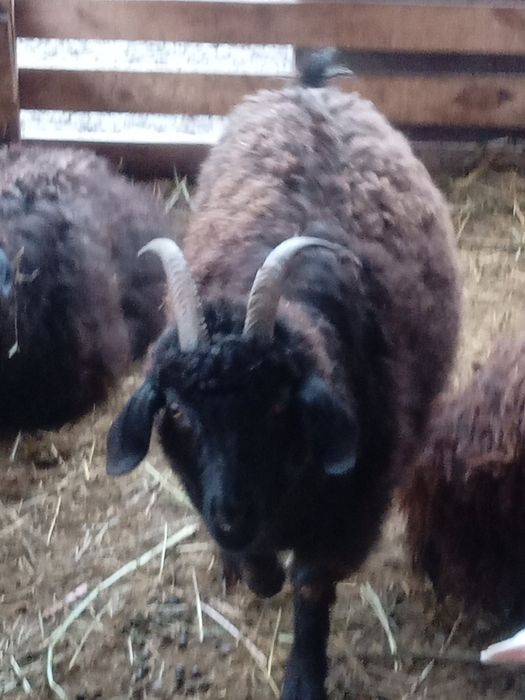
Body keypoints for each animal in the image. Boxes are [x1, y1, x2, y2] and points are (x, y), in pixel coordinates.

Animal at [106, 51, 461, 700]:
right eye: (178, 412)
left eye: (278, 407)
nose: (231, 514)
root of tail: (310, 89)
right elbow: (262, 567)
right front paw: (245, 565)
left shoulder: (352, 509)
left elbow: (309, 585)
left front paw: (303, 675)